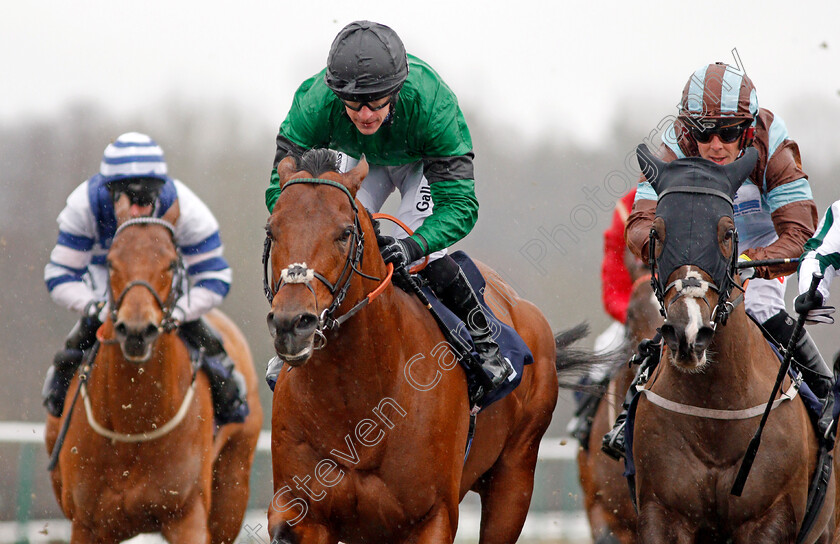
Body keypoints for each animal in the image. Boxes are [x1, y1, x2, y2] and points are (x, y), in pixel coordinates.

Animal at [42, 215, 264, 540]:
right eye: (111, 261)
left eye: (171, 263)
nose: (137, 330)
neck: (132, 423)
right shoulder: (88, 524)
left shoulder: (187, 515)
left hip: (232, 490)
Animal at [266, 149, 588, 544]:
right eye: (271, 230)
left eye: (344, 233)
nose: (292, 324)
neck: (356, 397)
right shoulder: (303, 514)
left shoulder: (431, 517)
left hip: (514, 479)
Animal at [632, 146, 836, 544]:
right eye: (656, 233)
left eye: (727, 232)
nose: (688, 332)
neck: (715, 416)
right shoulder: (661, 514)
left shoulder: (770, 517)